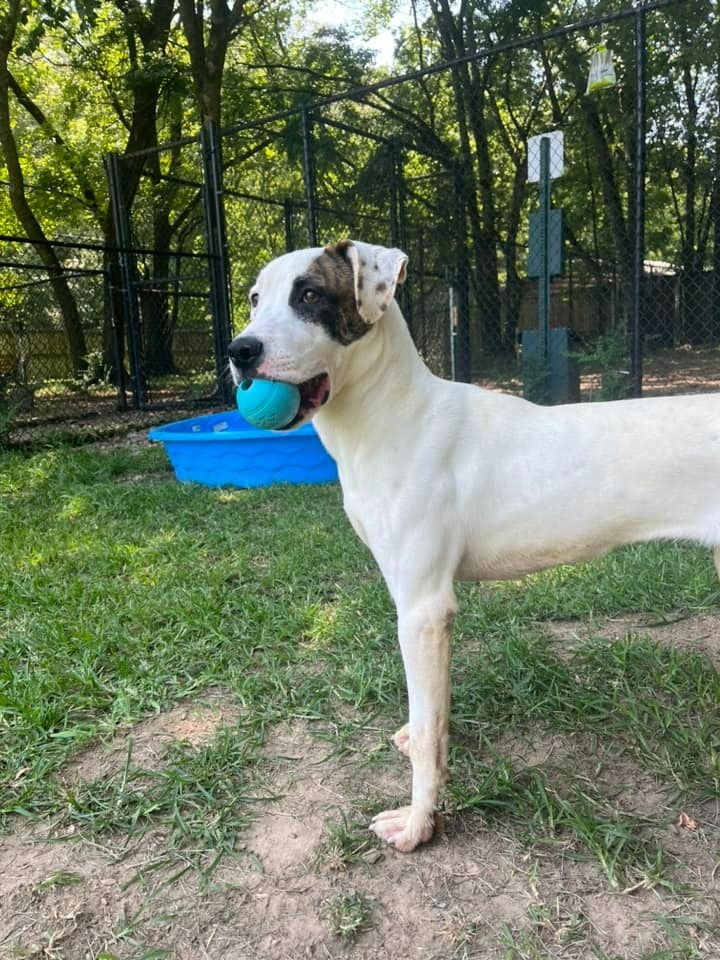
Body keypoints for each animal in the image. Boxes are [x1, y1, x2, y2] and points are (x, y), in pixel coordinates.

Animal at [228, 240, 720, 856]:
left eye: (311, 295)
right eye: (254, 298)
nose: (239, 351)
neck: (393, 415)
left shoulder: (423, 611)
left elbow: (426, 735)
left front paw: (418, 826)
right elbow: (431, 721)